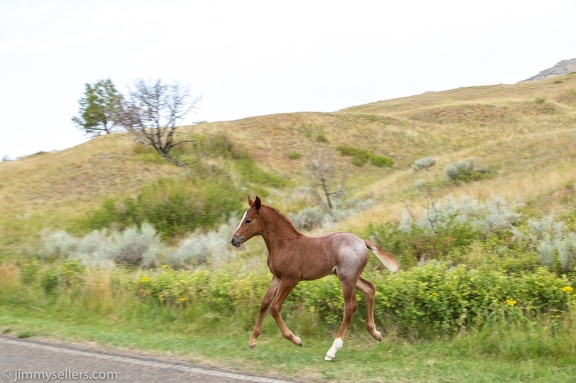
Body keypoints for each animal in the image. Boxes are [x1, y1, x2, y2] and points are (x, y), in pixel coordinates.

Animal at [228, 196, 396, 362]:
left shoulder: (290, 279)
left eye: (248, 220)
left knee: (350, 306)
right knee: (370, 288)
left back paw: (332, 351)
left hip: (346, 278)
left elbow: (274, 307)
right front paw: (252, 341)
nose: (234, 240)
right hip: (350, 276)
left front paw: (296, 339)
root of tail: (362, 242)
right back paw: (375, 333)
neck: (283, 244)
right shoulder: (277, 277)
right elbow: (264, 303)